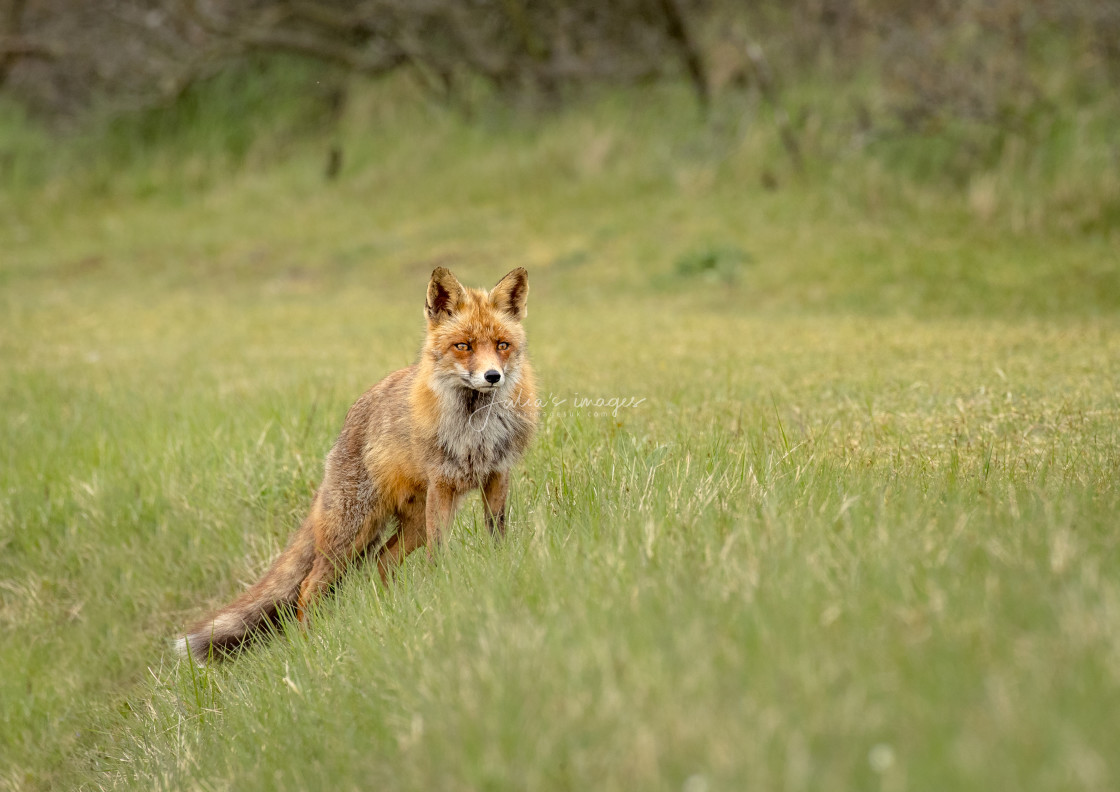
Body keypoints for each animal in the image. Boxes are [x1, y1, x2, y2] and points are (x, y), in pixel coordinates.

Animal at [174, 266, 537, 663]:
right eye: (464, 346)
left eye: (502, 345)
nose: (492, 376)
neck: (476, 426)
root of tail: (345, 427)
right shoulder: (442, 483)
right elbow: (438, 555)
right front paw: (444, 591)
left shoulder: (497, 474)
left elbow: (497, 535)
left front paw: (498, 573)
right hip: (351, 533)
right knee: (308, 589)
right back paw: (311, 648)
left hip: (410, 526)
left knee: (382, 561)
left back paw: (391, 610)